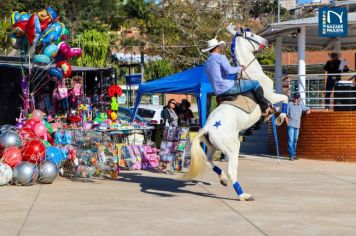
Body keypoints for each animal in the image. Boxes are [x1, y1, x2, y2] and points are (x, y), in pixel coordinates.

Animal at [184, 24, 290, 201]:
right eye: (252, 35)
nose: (266, 41)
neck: (252, 73)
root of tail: (207, 128)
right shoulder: (271, 95)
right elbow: (285, 98)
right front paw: (281, 117)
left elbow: (279, 104)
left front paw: (277, 115)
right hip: (233, 148)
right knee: (231, 171)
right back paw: (243, 195)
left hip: (213, 147)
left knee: (209, 161)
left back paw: (223, 179)